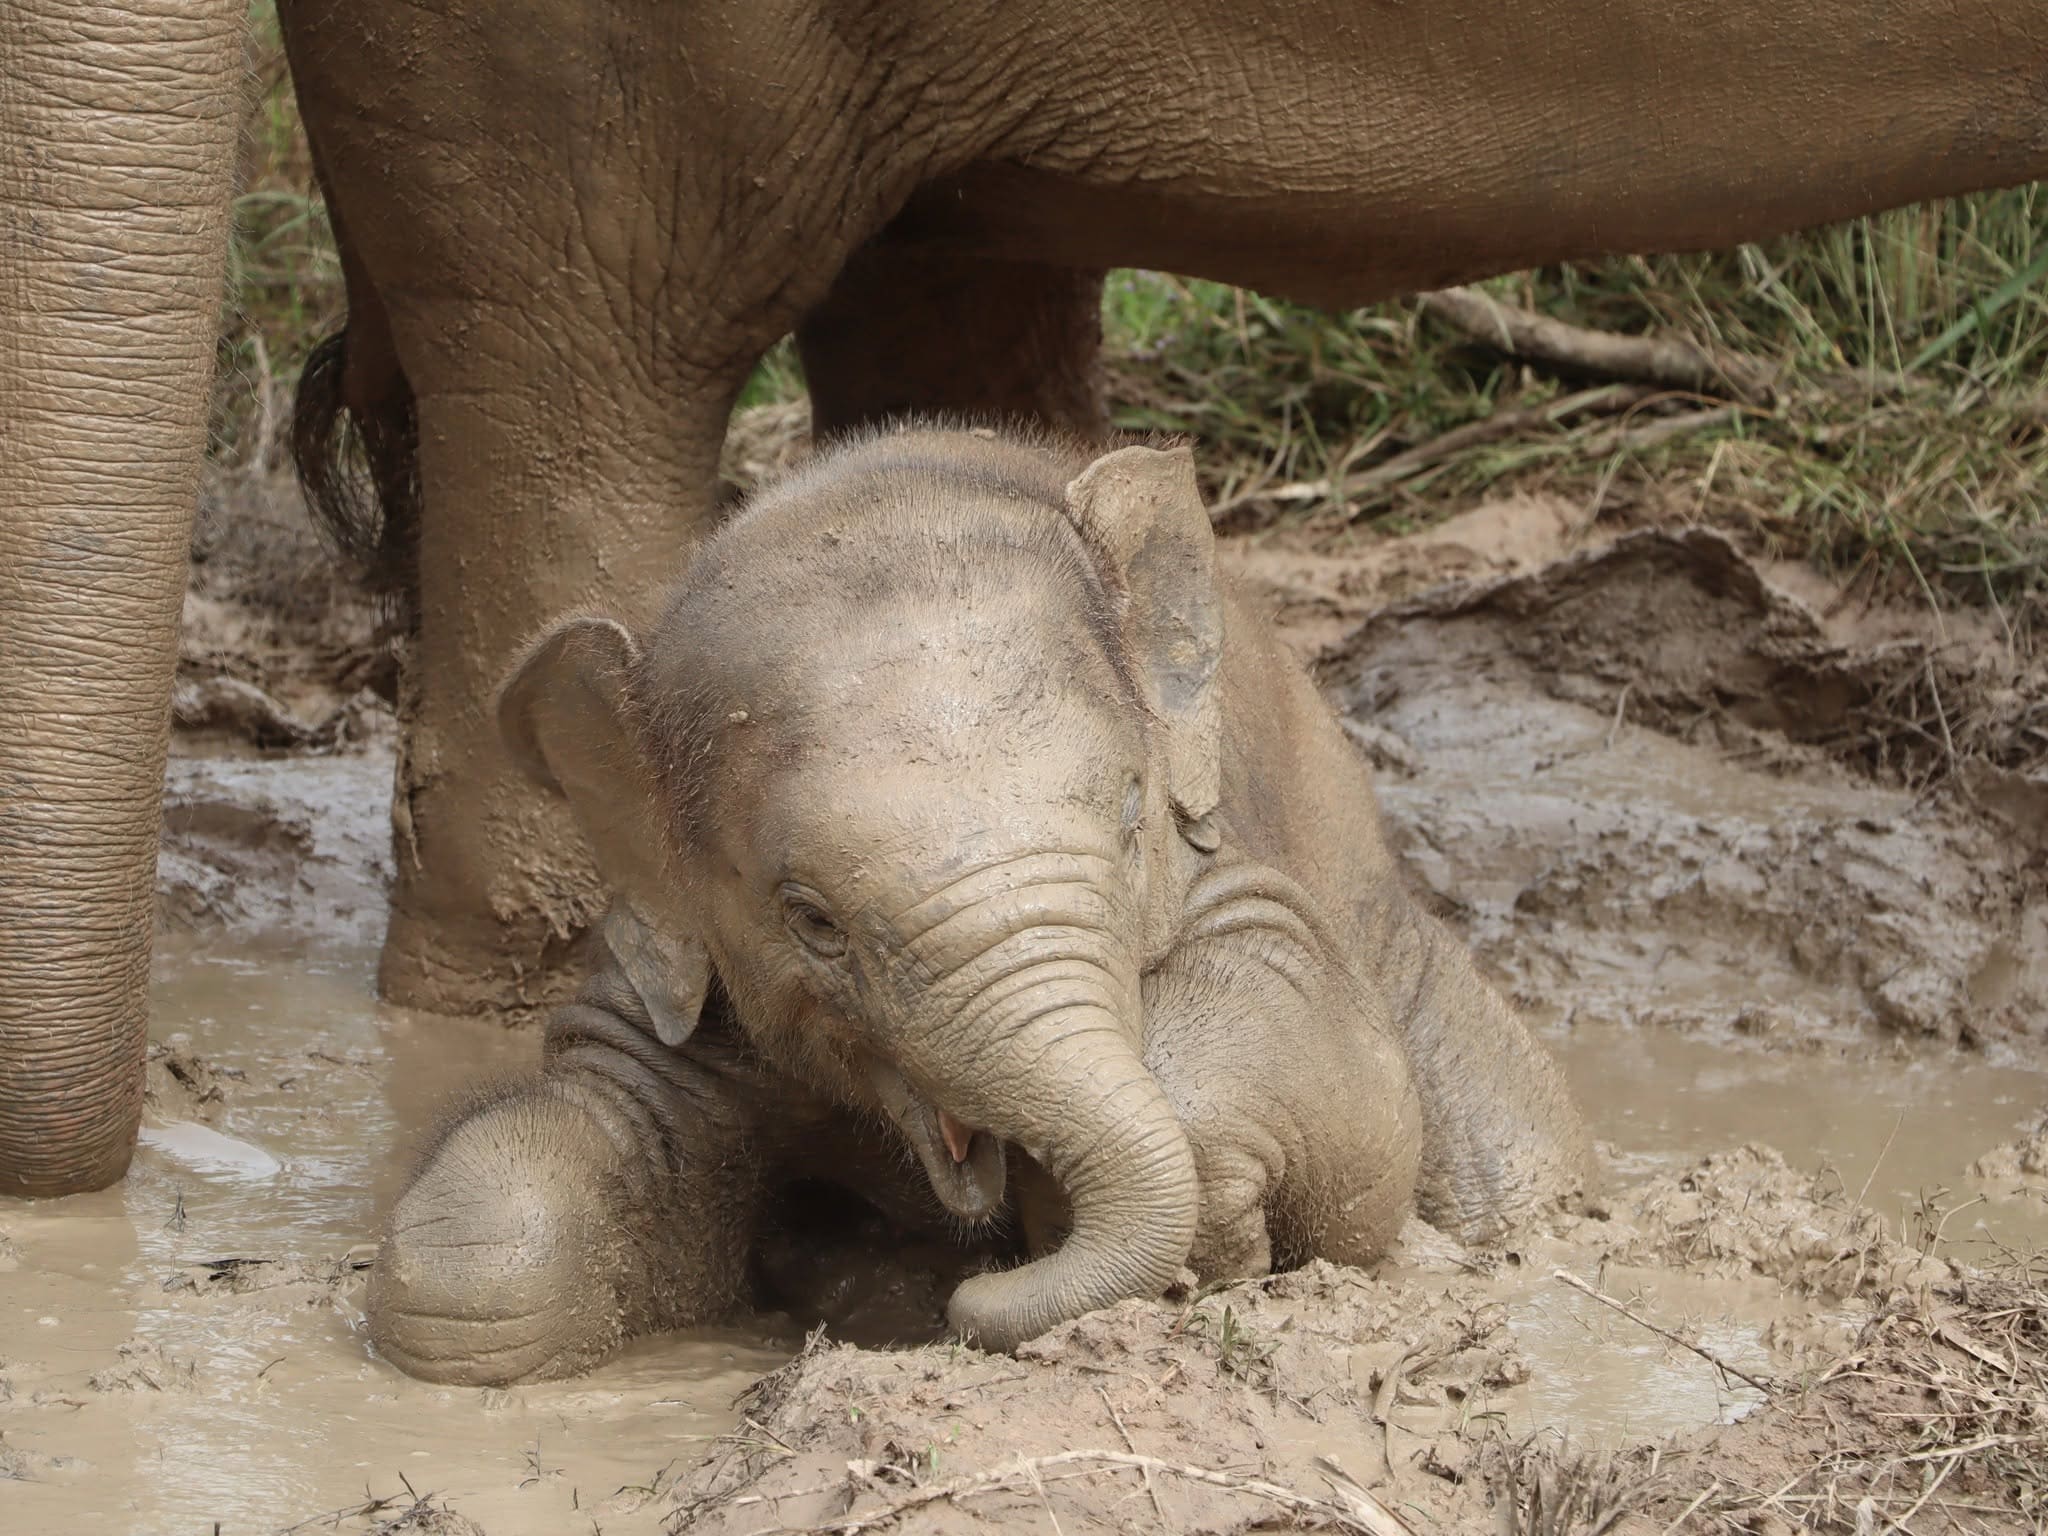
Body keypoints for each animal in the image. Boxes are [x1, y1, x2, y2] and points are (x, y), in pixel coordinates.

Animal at [365, 426, 1589, 1381]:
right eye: (809, 917)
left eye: (1132, 813)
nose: (960, 1301)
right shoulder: (662, 961)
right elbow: (482, 1246)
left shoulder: (1233, 855)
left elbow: (1334, 1063)